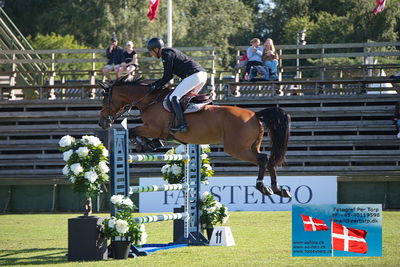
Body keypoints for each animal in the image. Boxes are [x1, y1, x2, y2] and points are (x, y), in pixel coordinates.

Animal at [97, 76, 290, 198]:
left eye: (105, 99)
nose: (102, 123)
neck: (149, 100)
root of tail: (256, 115)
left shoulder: (152, 128)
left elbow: (134, 131)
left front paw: (141, 144)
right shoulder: (159, 132)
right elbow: (146, 136)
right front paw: (149, 144)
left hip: (237, 149)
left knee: (263, 159)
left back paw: (262, 187)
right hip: (250, 146)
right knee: (269, 160)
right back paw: (278, 189)